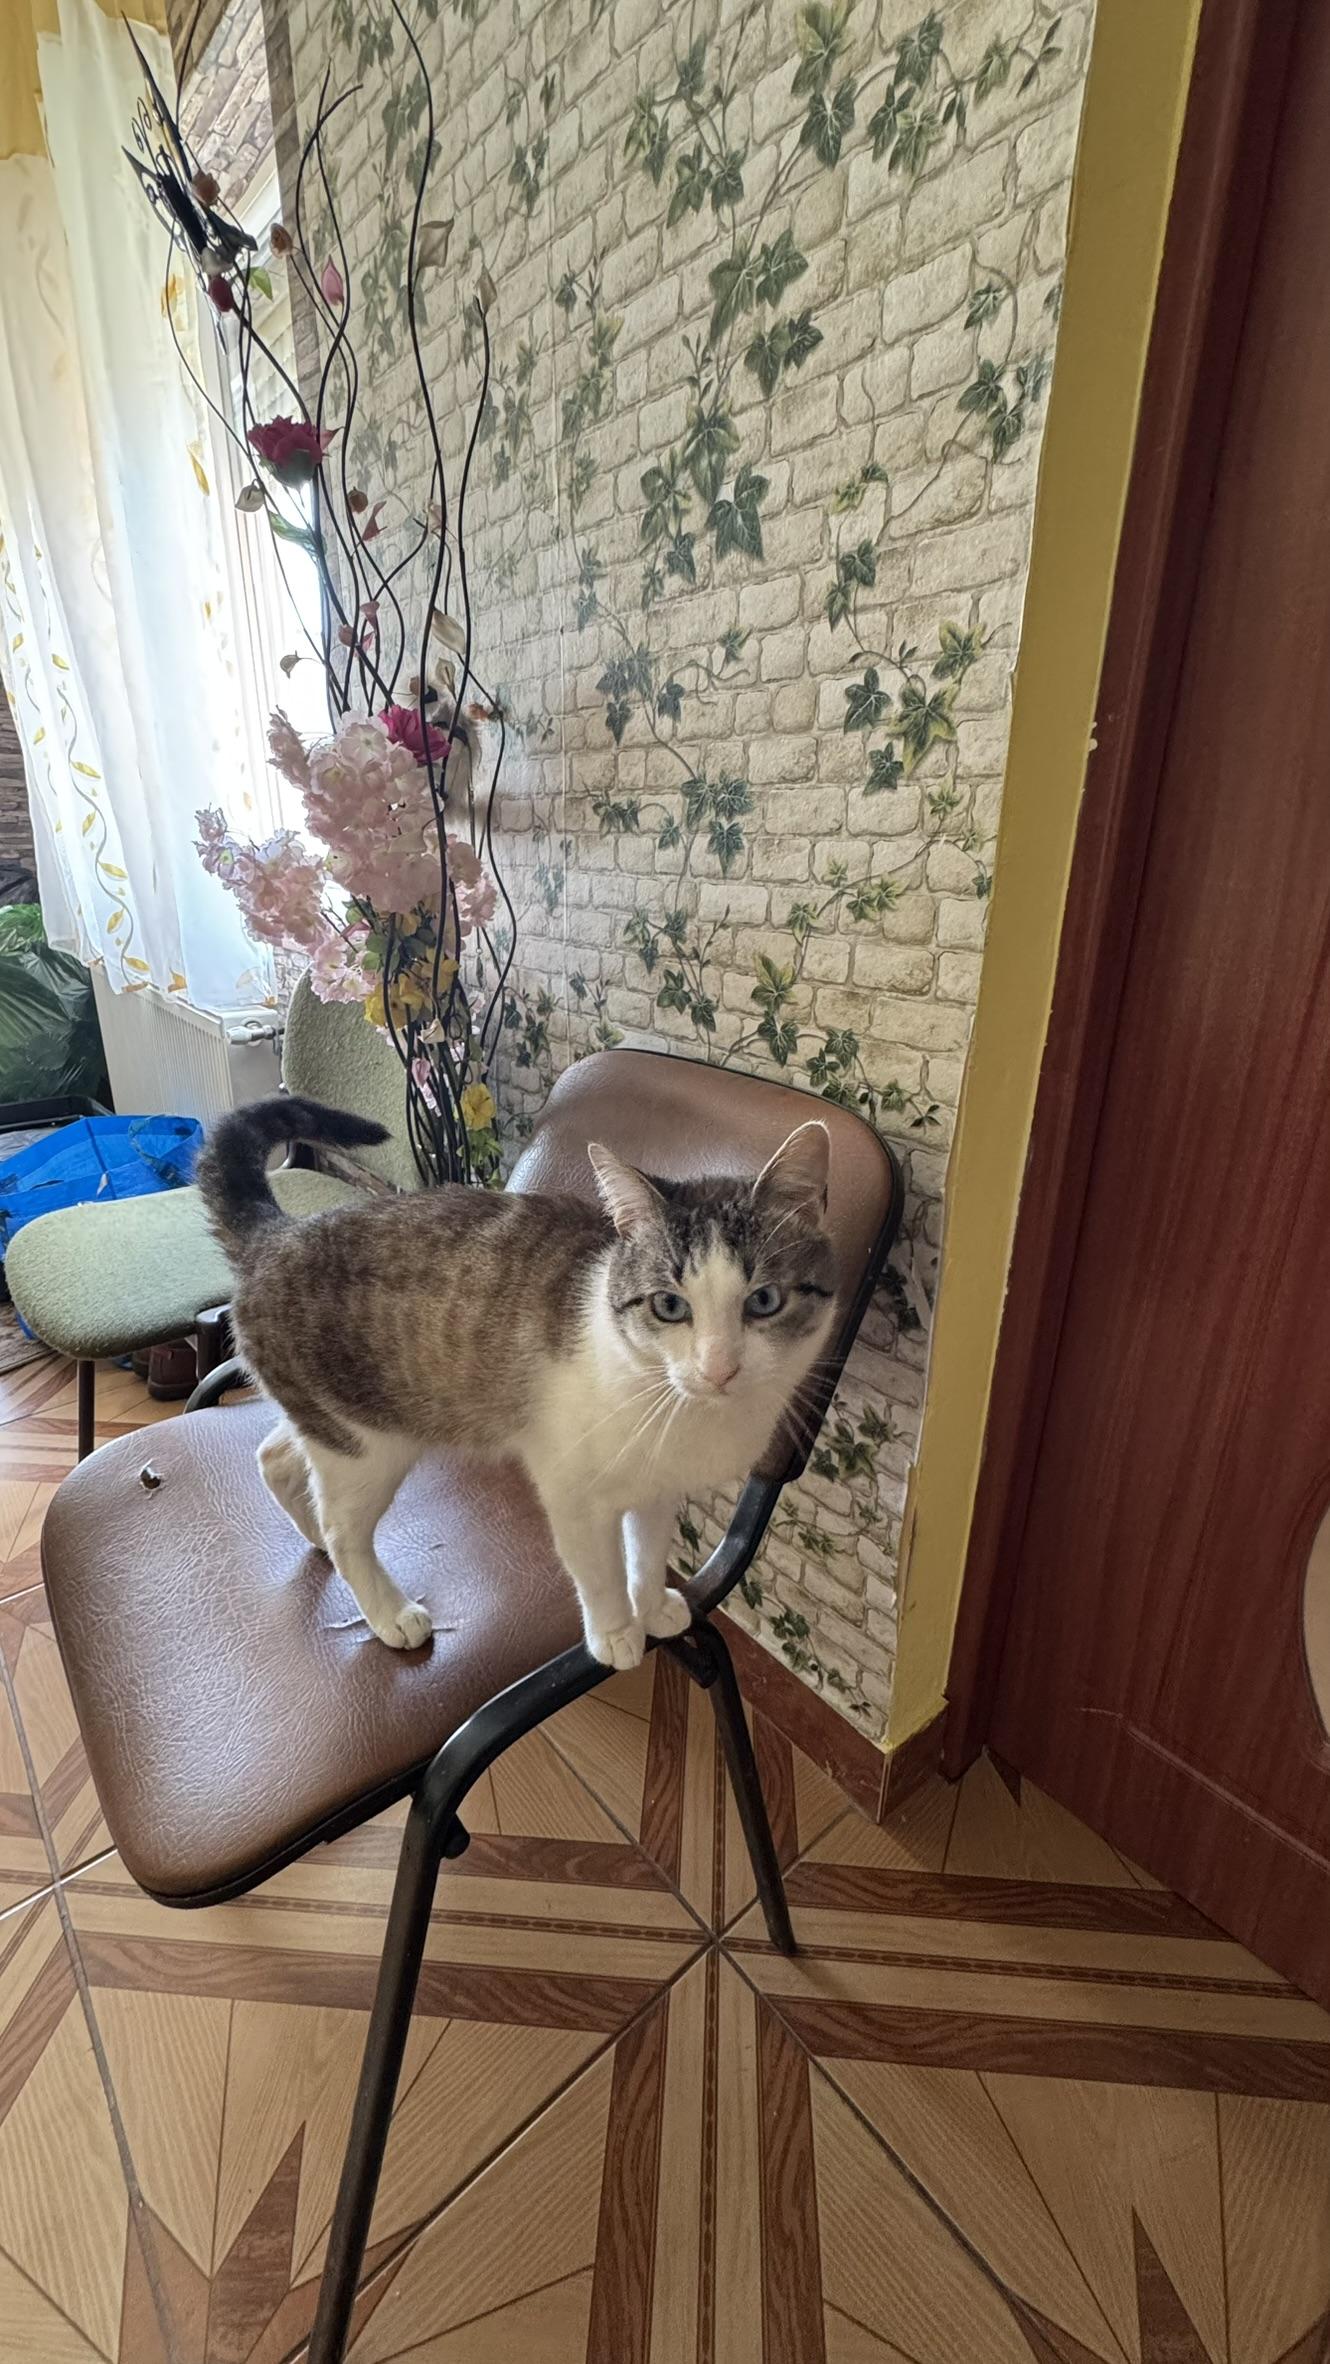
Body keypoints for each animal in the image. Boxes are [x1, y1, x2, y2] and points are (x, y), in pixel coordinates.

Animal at [197, 1096, 837, 1670]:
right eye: (670, 1306)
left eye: (764, 1301)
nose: (719, 1367)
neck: (682, 1414)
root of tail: (278, 1236)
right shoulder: (572, 1491)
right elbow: (599, 1570)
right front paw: (616, 1632)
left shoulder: (657, 1488)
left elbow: (649, 1551)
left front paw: (653, 1607)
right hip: (366, 1446)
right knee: (344, 1528)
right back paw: (386, 1609)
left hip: (331, 1426)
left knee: (276, 1456)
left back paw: (311, 1531)